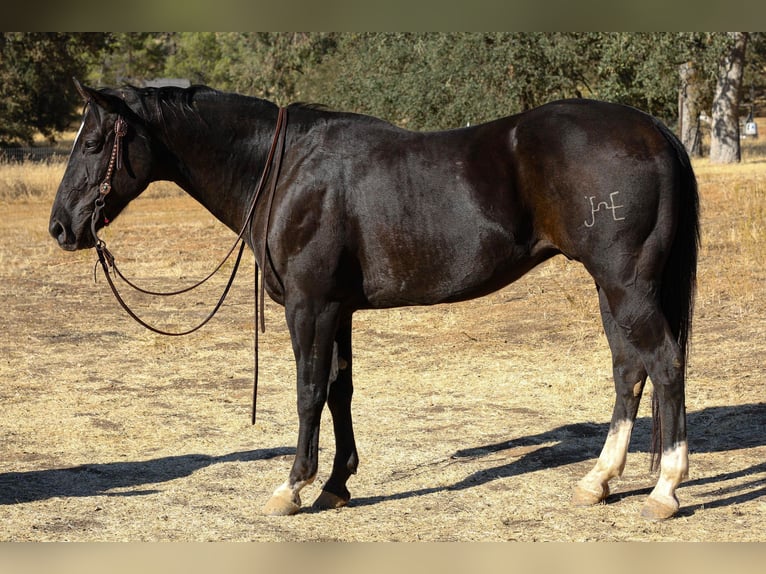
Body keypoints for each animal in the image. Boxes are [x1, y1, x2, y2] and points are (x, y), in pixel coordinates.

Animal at [49, 80, 699, 520]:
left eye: (94, 141)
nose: (60, 227)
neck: (285, 169)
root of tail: (654, 132)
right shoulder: (338, 311)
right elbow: (340, 391)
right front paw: (336, 485)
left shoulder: (309, 306)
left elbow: (309, 391)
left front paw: (293, 487)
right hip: (611, 290)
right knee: (629, 371)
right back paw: (599, 480)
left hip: (626, 285)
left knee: (665, 364)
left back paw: (665, 488)